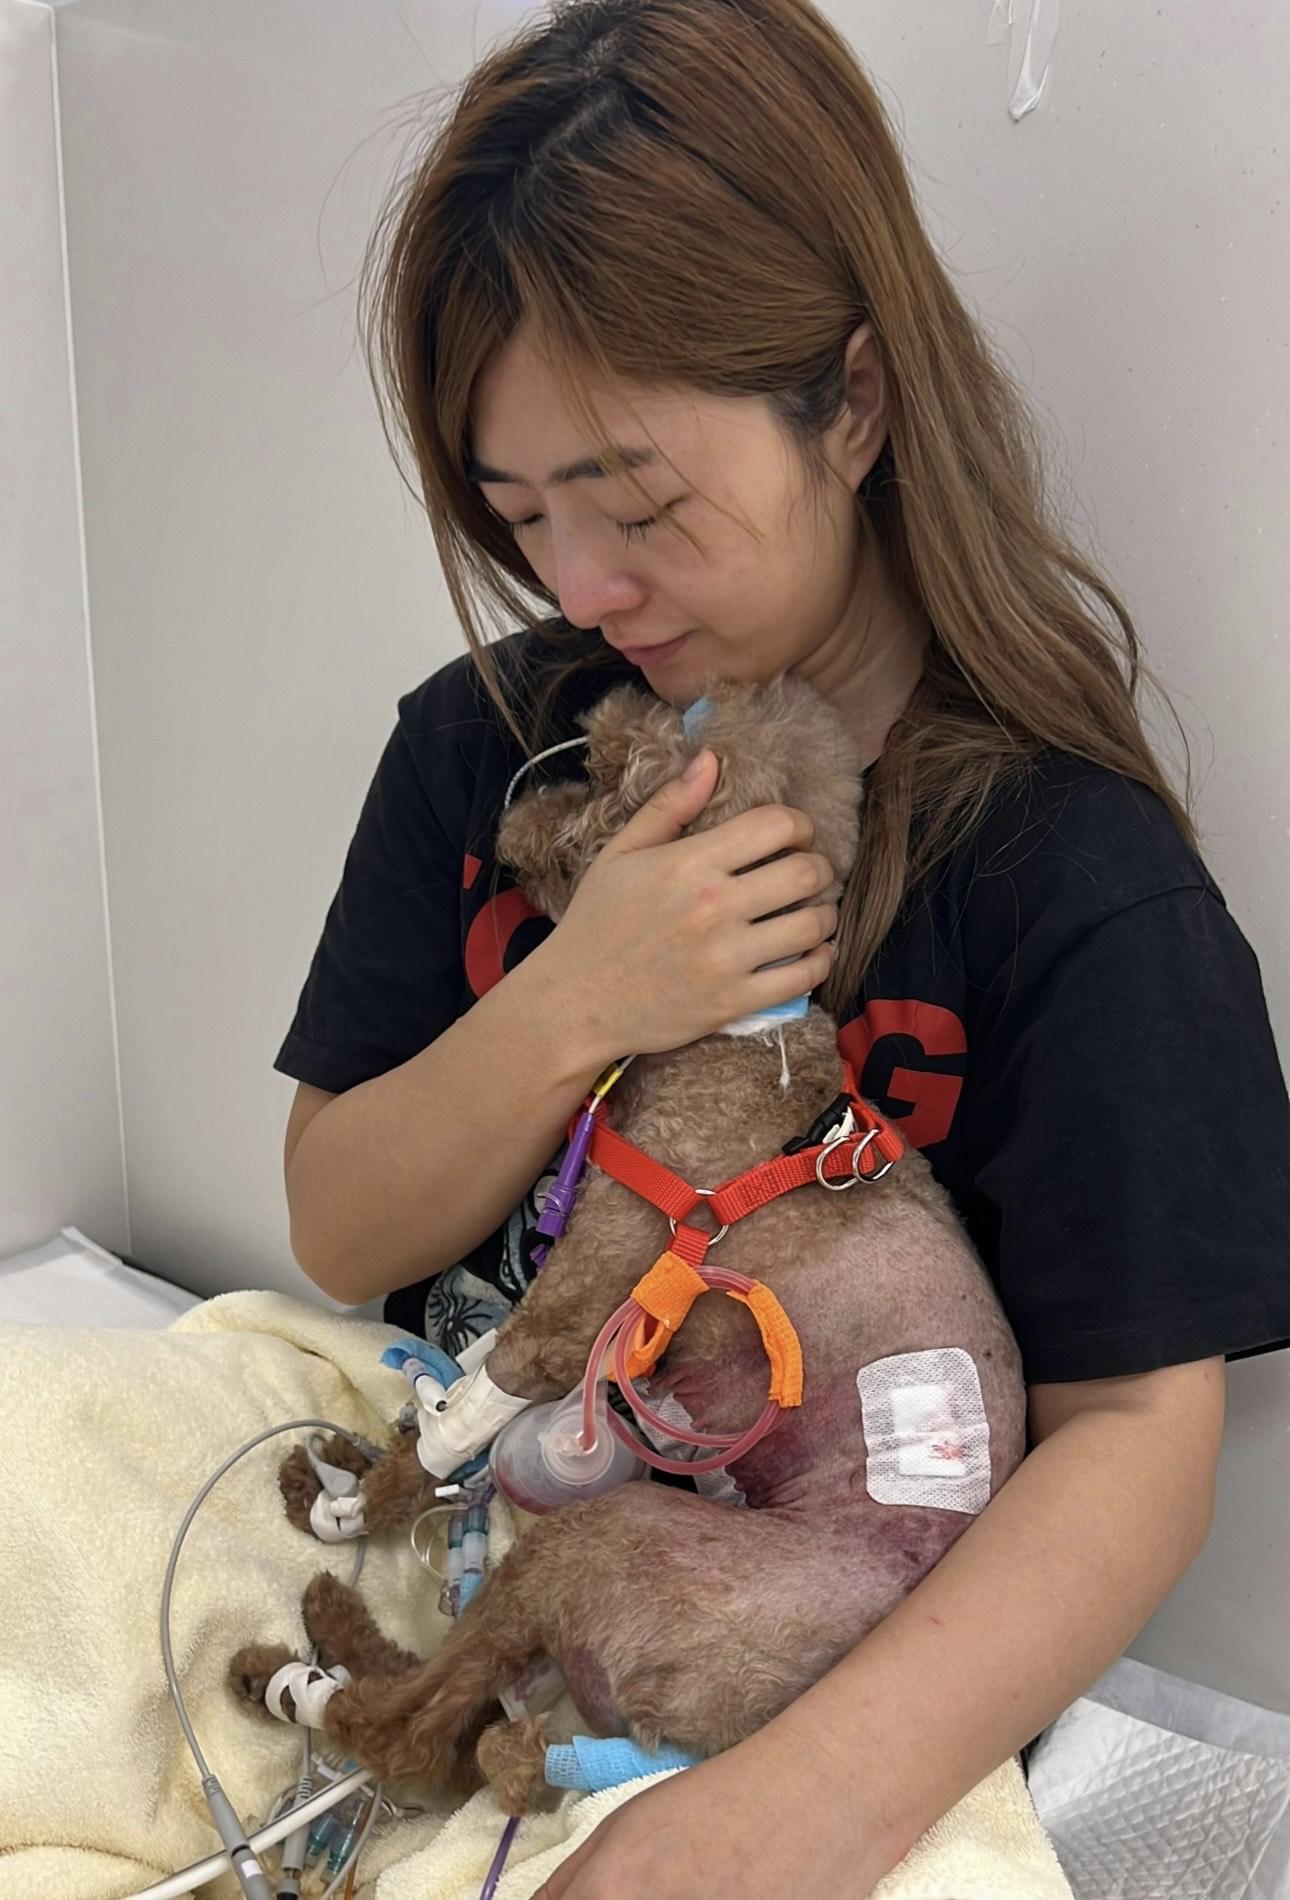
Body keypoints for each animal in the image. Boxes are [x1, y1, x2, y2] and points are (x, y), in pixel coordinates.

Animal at [229, 674, 1025, 1812]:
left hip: (610, 1541)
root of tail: (693, 1745)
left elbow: (456, 1425)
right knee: (466, 1724)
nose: (510, 821)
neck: (738, 1041)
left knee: (418, 1739)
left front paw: (360, 1508)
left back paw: (301, 1673)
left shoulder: (576, 1313)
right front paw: (355, 1472)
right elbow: (452, 1401)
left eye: (603, 769)